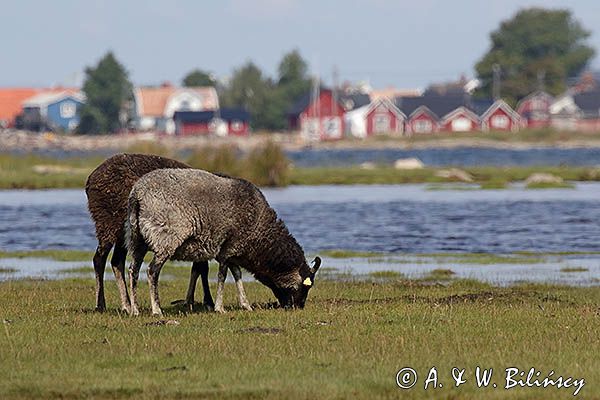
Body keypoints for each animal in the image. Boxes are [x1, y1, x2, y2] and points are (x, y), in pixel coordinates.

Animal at [84, 153, 246, 312]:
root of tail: (91, 179)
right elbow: (202, 268)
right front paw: (208, 302)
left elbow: (199, 268)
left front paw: (192, 301)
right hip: (108, 223)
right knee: (99, 259)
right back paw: (101, 305)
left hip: (125, 233)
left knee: (117, 261)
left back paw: (127, 305)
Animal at [126, 169, 322, 316]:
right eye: (305, 286)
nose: (298, 307)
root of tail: (138, 195)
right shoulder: (228, 249)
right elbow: (223, 276)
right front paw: (219, 308)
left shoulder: (234, 251)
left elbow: (237, 275)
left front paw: (245, 305)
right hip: (165, 239)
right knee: (152, 271)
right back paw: (156, 310)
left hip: (137, 239)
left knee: (133, 271)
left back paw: (135, 310)